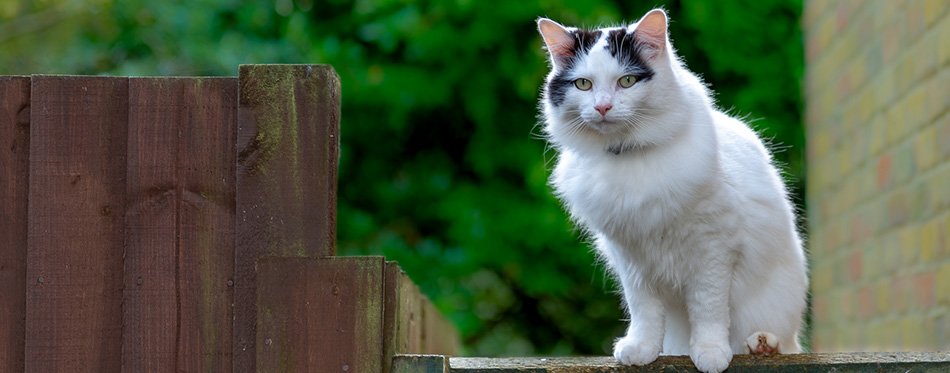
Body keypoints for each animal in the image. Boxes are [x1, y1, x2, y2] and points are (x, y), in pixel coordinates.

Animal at [540, 8, 808, 372]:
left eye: (627, 81)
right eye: (584, 84)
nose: (603, 107)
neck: (629, 158)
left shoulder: (712, 249)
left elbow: (708, 309)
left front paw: (710, 352)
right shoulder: (632, 259)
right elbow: (644, 312)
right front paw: (642, 349)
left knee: (782, 341)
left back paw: (761, 345)